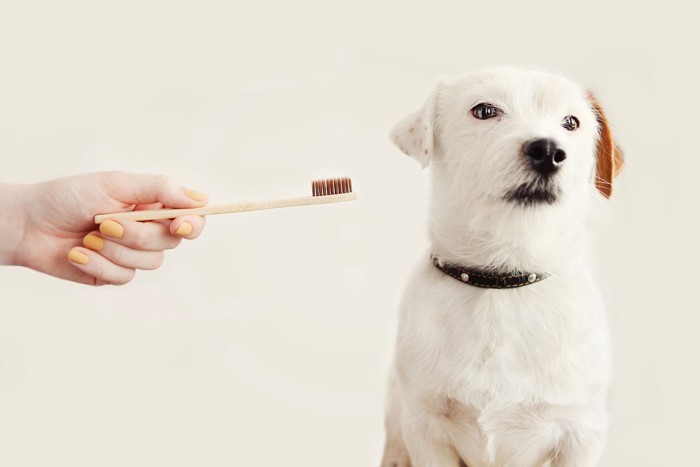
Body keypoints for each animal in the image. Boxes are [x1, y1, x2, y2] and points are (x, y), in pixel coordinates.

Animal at [380, 68, 628, 467]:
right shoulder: (426, 428)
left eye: (571, 122)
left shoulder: (581, 433)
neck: (503, 279)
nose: (548, 151)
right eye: (485, 110)